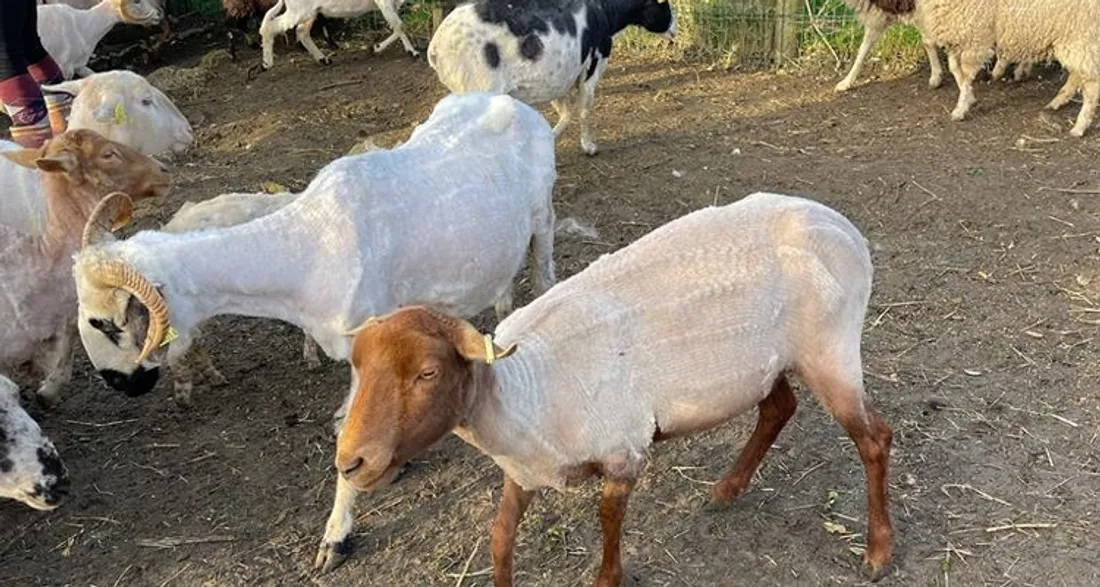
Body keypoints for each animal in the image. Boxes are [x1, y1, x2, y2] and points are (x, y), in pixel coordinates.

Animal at [71, 93, 556, 408]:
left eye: (108, 323)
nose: (118, 384)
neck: (302, 247)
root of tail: (516, 103)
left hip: (542, 216)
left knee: (544, 270)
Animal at [259, 0, 418, 71]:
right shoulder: (384, 1)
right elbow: (400, 25)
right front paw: (413, 52)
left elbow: (398, 25)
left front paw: (375, 47)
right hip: (299, 10)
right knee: (269, 26)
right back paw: (266, 64)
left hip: (310, 12)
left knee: (301, 31)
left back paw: (324, 59)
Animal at [320, 192, 896, 581]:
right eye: (358, 370)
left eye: (427, 373)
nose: (350, 462)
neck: (525, 390)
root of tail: (841, 225)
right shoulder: (523, 470)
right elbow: (500, 537)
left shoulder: (623, 454)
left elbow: (607, 520)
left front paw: (606, 576)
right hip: (760, 364)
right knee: (779, 408)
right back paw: (726, 490)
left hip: (830, 349)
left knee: (874, 438)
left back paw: (878, 552)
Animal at [427, 0, 676, 156]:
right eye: (663, 4)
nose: (675, 29)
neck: (606, 11)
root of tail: (436, 48)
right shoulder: (592, 68)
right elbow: (584, 110)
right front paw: (589, 147)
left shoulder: (558, 77)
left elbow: (565, 112)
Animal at [878, 0, 1099, 137]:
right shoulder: (959, 37)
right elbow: (955, 71)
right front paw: (969, 99)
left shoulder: (975, 36)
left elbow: (965, 75)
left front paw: (961, 108)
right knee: (1078, 75)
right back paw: (1057, 102)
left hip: (1079, 35)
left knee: (1091, 84)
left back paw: (1079, 126)